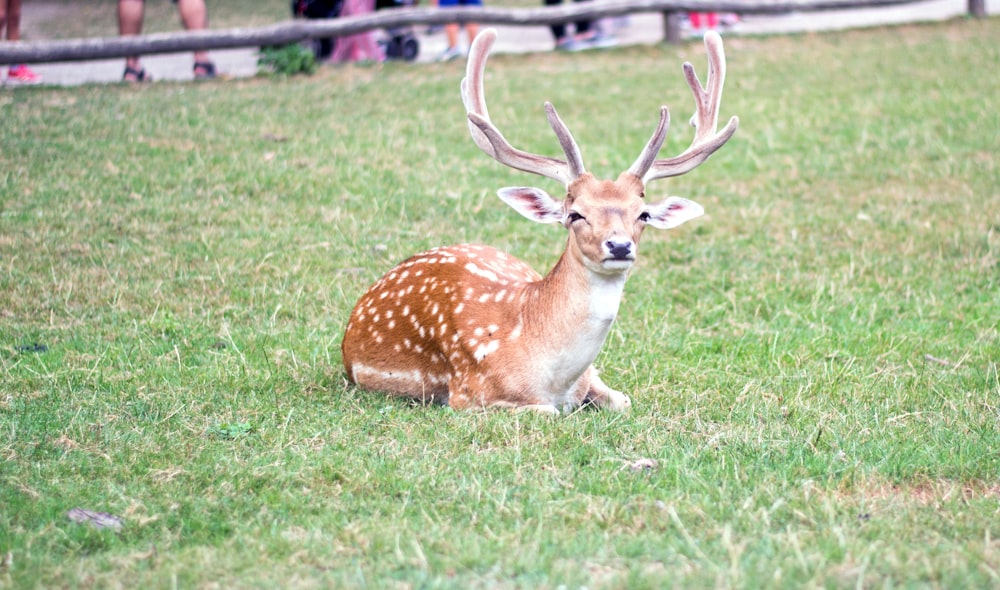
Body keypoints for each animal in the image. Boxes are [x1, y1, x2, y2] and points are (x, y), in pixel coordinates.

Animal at [340, 28, 740, 416]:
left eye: (641, 213)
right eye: (575, 214)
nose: (619, 245)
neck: (553, 378)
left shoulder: (591, 379)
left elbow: (623, 402)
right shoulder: (468, 394)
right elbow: (547, 412)